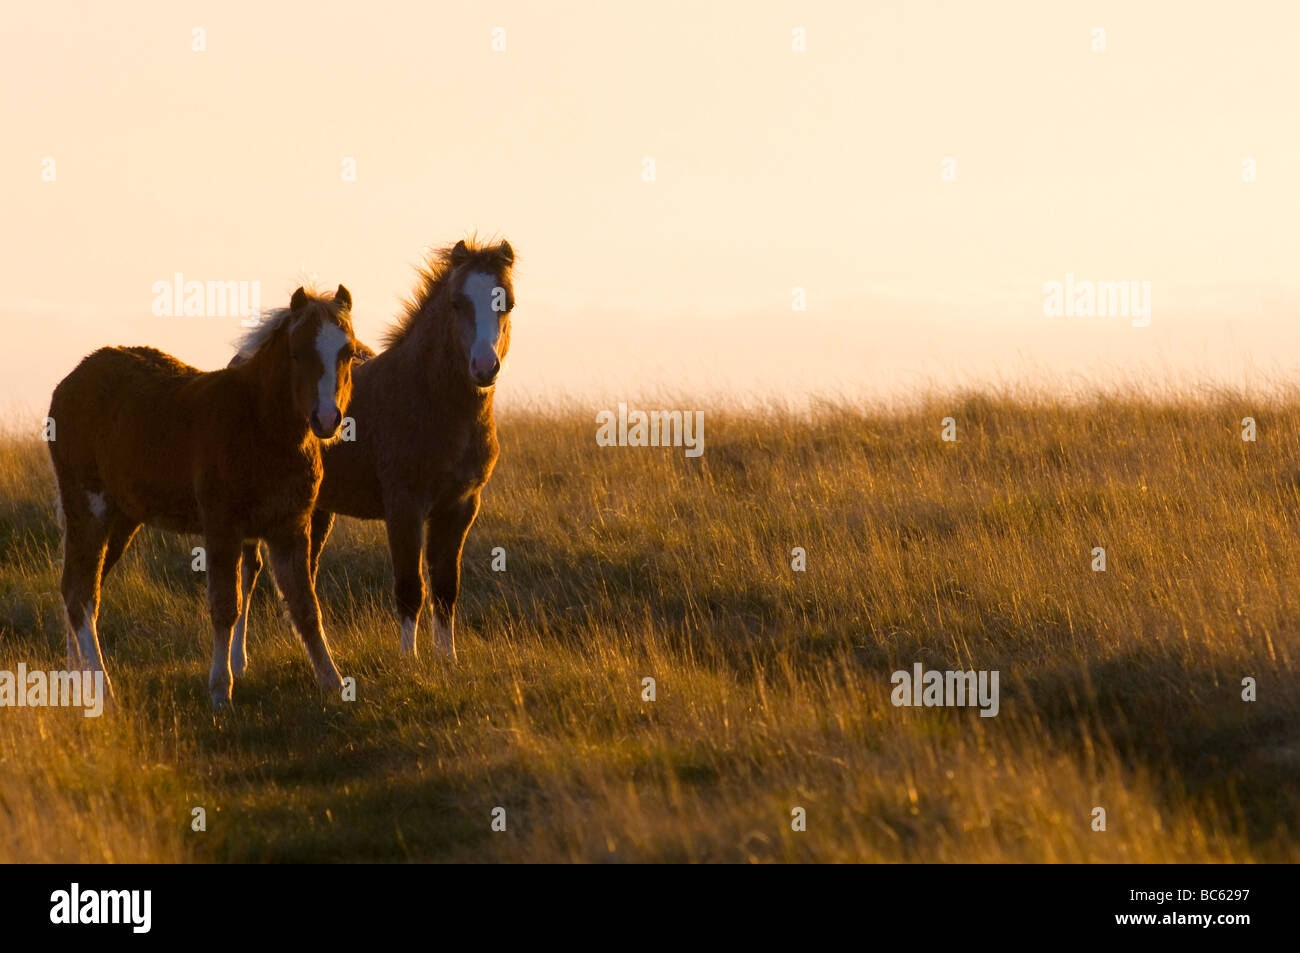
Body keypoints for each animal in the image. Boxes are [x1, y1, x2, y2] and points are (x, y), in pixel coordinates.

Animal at [47, 286, 360, 708]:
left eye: (347, 352)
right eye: (297, 352)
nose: (326, 419)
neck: (260, 424)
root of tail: (67, 385)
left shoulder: (289, 527)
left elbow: (305, 607)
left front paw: (331, 683)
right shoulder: (222, 526)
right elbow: (226, 606)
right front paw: (220, 691)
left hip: (122, 517)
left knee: (77, 588)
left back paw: (75, 680)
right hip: (88, 506)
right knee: (81, 593)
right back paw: (103, 689)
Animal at [235, 238, 516, 663]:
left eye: (508, 303)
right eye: (456, 303)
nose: (484, 367)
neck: (428, 398)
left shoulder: (460, 506)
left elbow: (446, 588)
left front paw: (447, 660)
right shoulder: (404, 505)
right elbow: (410, 587)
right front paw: (408, 661)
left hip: (317, 509)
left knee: (304, 573)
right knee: (248, 573)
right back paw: (239, 658)